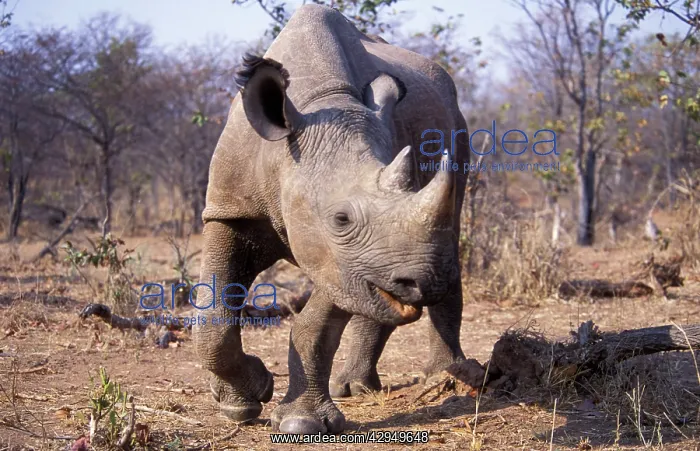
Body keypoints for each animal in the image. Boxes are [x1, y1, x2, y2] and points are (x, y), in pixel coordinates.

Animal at [194, 4, 478, 434]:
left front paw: (299, 423)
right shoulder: (231, 211)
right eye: (341, 219)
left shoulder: (341, 261)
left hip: (458, 129)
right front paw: (243, 400)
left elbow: (317, 324)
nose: (422, 284)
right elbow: (213, 316)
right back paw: (355, 387)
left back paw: (448, 377)